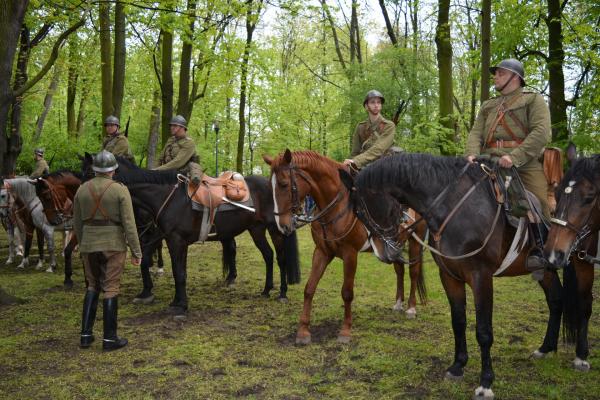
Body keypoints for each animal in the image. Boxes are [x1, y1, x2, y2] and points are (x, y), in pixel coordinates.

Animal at [82, 153, 300, 312]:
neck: (166, 197)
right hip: (256, 230)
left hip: (276, 229)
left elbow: (178, 272)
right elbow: (175, 270)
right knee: (268, 256)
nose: (79, 202)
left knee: (280, 258)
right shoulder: (169, 239)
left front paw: (181, 305)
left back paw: (282, 293)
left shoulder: (174, 240)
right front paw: (174, 300)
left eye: (90, 174)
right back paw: (266, 290)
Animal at [262, 150, 426, 344]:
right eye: (269, 186)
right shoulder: (322, 252)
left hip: (415, 242)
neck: (337, 206)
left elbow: (347, 292)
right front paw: (303, 331)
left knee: (414, 272)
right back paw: (398, 303)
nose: (282, 226)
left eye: (284, 184)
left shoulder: (350, 254)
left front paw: (345, 331)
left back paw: (411, 308)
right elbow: (309, 288)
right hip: (395, 246)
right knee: (399, 271)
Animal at [342, 152, 596, 398]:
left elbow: (483, 331)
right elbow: (458, 321)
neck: (455, 208)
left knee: (578, 303)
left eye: (362, 211)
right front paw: (457, 366)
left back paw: (580, 356)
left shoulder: (480, 277)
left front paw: (486, 382)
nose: (382, 252)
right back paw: (545, 348)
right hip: (545, 270)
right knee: (556, 299)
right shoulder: (449, 276)